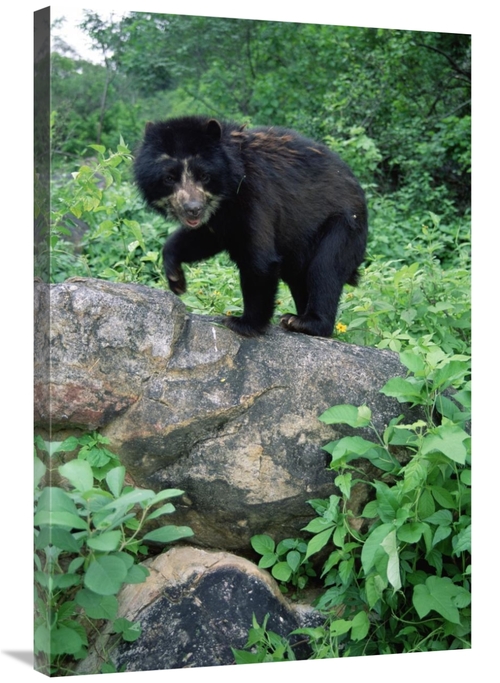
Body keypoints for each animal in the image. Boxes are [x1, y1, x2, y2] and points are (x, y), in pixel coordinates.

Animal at [134, 115, 368, 338]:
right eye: (169, 178)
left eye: (204, 176)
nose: (193, 209)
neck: (229, 189)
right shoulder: (221, 218)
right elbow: (202, 239)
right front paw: (176, 279)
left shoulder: (255, 195)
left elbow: (259, 261)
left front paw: (243, 323)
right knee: (300, 278)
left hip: (343, 227)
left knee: (325, 268)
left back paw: (305, 322)